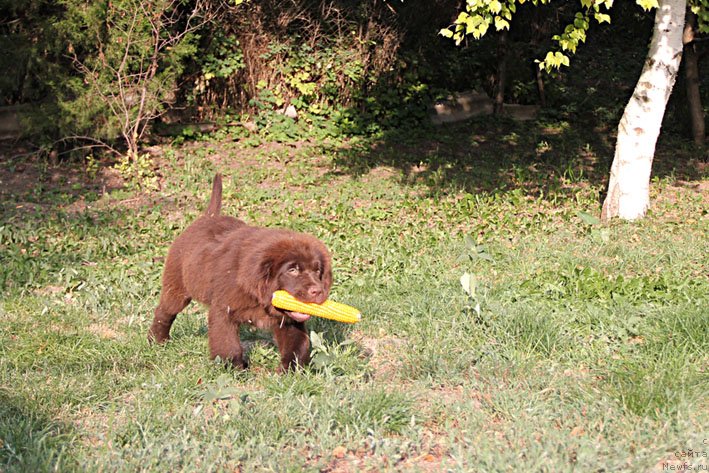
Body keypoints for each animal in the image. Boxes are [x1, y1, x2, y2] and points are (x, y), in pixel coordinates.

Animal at [149, 171, 332, 370]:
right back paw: (158, 340)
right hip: (177, 286)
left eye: (317, 271)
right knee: (165, 311)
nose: (318, 291)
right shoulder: (224, 310)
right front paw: (235, 368)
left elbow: (297, 345)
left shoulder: (288, 320)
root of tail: (207, 216)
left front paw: (290, 369)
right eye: (292, 270)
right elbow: (227, 343)